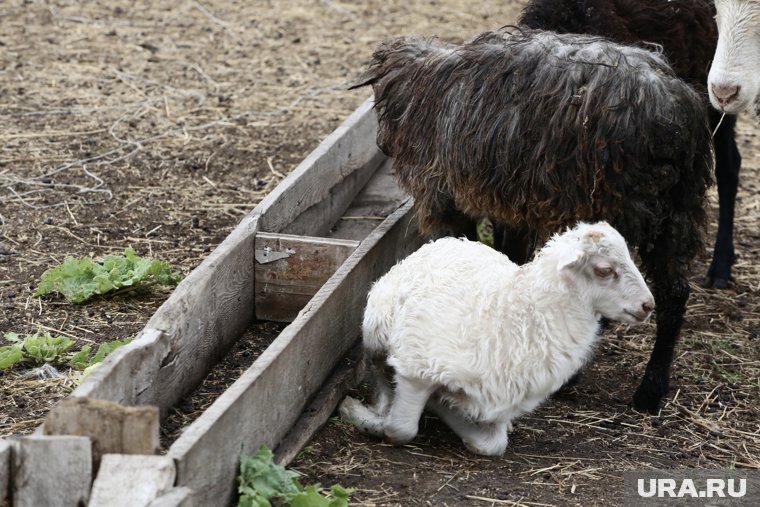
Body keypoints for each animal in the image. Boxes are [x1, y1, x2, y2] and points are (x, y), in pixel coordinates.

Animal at [338, 222, 652, 456]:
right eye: (604, 270)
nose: (648, 305)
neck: (520, 314)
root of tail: (453, 241)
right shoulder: (416, 368)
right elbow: (400, 430)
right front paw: (364, 416)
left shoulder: (504, 399)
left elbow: (493, 445)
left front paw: (450, 410)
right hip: (376, 330)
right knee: (378, 373)